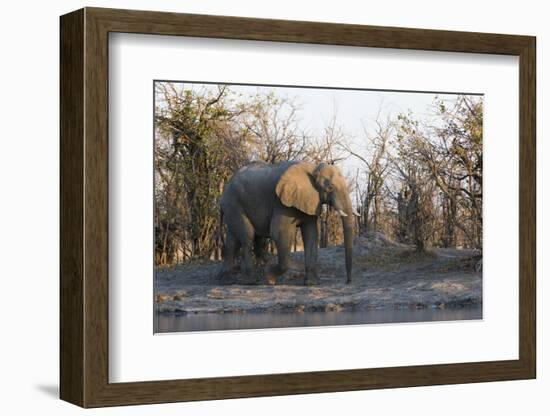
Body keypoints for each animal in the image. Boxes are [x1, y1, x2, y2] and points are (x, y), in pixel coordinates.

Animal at [220, 161, 358, 284]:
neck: (313, 167)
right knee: (247, 236)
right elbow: (279, 232)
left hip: (233, 206)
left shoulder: (309, 200)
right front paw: (269, 277)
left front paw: (311, 283)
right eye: (330, 188)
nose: (348, 281)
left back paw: (228, 277)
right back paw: (250, 281)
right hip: (233, 203)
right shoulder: (282, 202)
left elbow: (311, 234)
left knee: (234, 239)